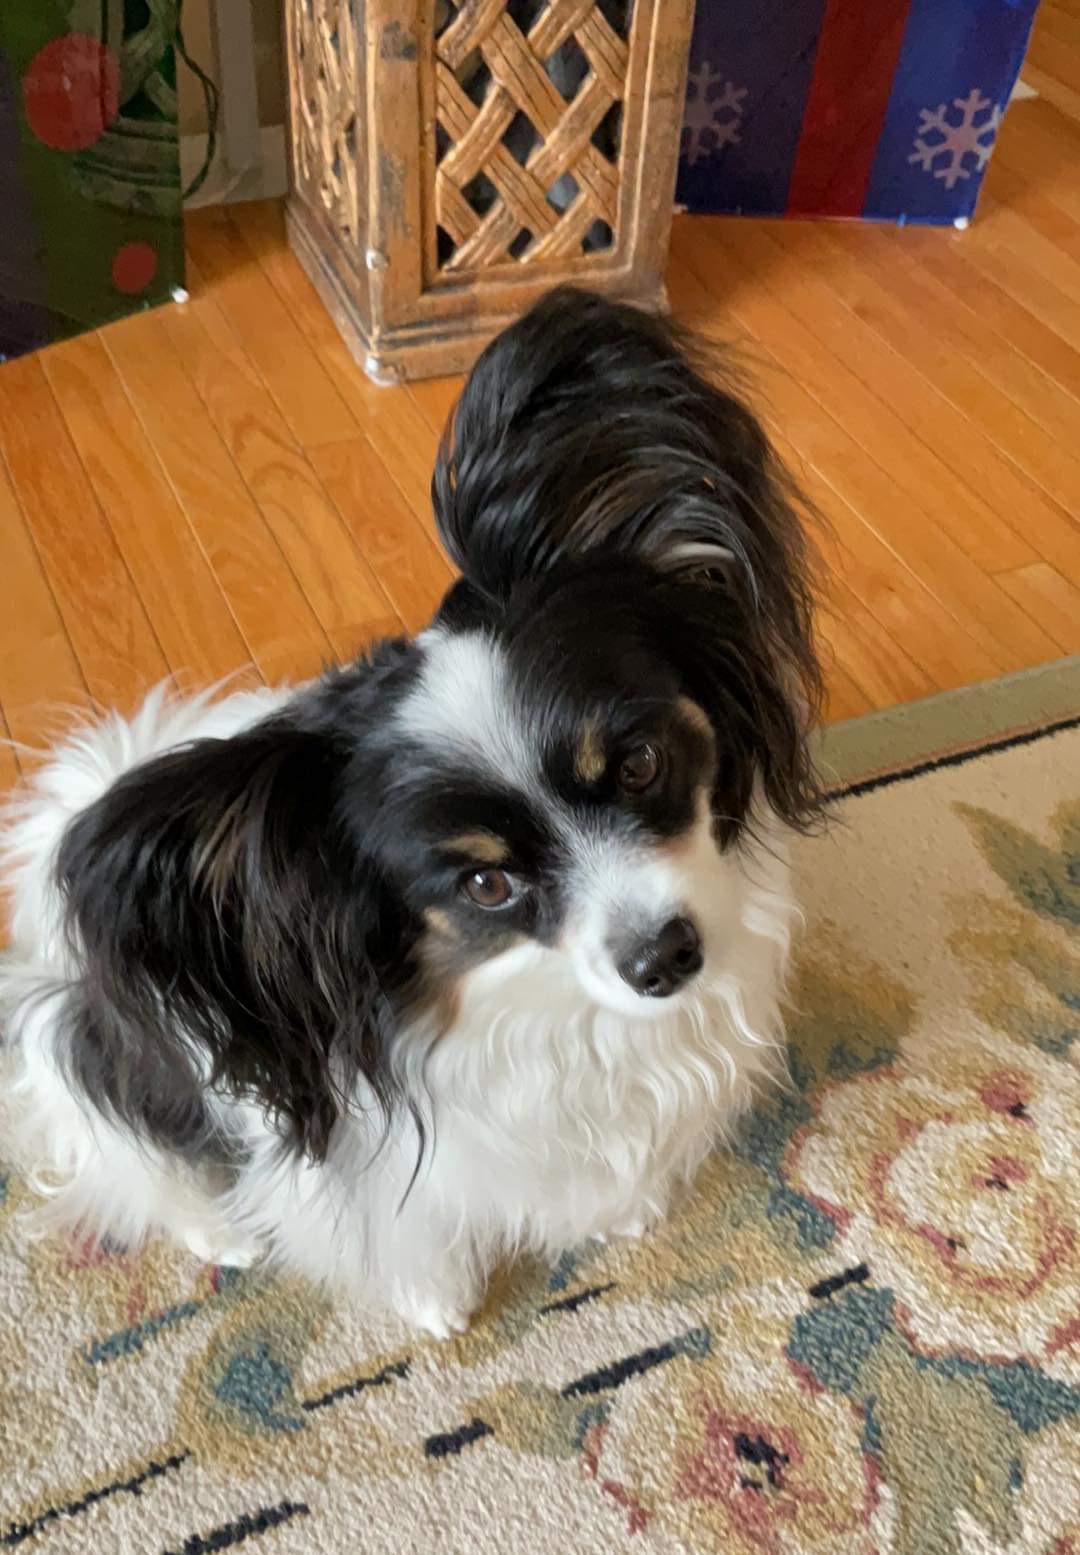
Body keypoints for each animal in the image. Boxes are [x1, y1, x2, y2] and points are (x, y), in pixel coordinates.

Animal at [0, 288, 821, 1337]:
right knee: (135, 1155)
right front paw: (440, 1305)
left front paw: (625, 1213)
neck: (542, 999)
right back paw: (220, 1233)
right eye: (485, 881)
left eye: (638, 764)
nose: (665, 959)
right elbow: (406, 1235)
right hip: (96, 1057)